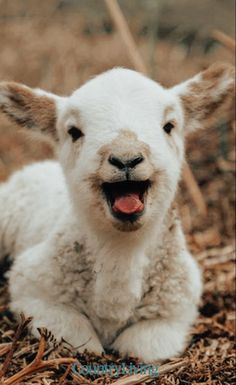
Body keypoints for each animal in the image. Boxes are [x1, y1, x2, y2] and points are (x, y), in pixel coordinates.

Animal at [0, 62, 233, 360]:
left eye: (169, 126)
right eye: (73, 131)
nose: (126, 159)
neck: (121, 251)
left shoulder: (176, 309)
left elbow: (141, 346)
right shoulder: (32, 287)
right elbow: (77, 337)